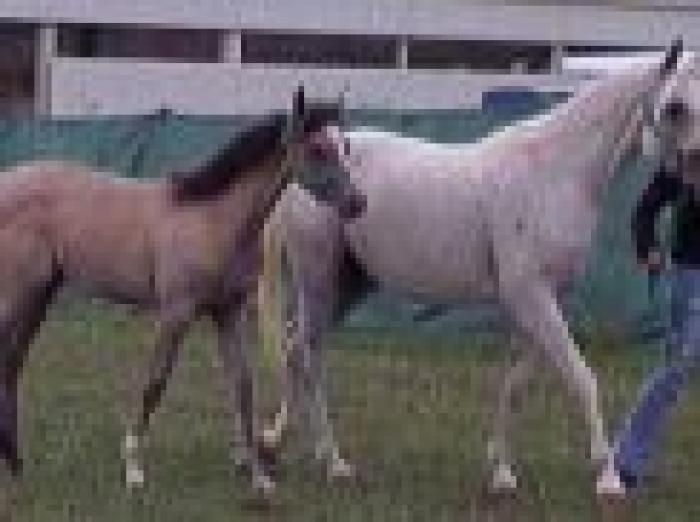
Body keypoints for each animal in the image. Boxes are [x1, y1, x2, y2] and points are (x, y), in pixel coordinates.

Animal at [0, 86, 363, 496]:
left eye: (346, 145)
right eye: (317, 148)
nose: (358, 203)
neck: (213, 218)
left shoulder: (228, 313)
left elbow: (243, 388)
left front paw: (259, 478)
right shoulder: (177, 311)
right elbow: (155, 382)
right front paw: (133, 468)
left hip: (38, 297)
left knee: (12, 365)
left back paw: (16, 465)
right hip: (18, 294)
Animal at [259, 41, 700, 497]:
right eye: (675, 106)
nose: (696, 169)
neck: (553, 172)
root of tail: (295, 179)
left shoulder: (540, 303)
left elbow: (515, 386)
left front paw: (502, 472)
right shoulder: (532, 298)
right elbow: (582, 378)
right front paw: (609, 478)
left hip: (347, 288)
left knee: (294, 349)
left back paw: (278, 442)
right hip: (319, 284)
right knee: (306, 355)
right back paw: (331, 461)